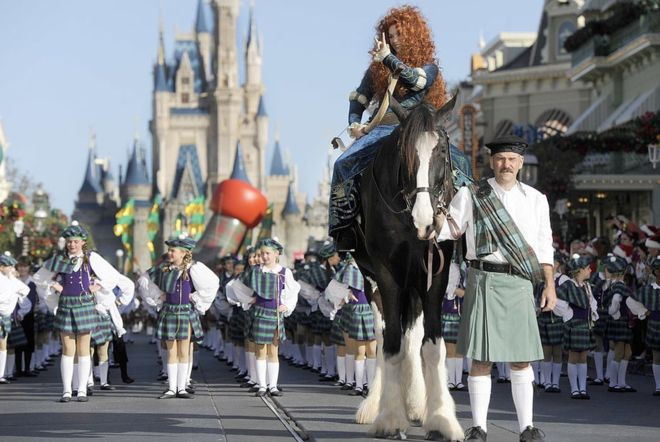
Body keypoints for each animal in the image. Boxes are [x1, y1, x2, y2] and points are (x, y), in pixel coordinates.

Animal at [350, 98, 464, 440]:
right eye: (405, 153)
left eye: (442, 149)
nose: (426, 220)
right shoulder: (387, 275)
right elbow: (390, 344)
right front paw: (390, 417)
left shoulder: (436, 274)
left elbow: (432, 346)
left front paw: (441, 418)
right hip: (375, 282)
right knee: (384, 333)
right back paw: (375, 405)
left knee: (412, 334)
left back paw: (415, 401)